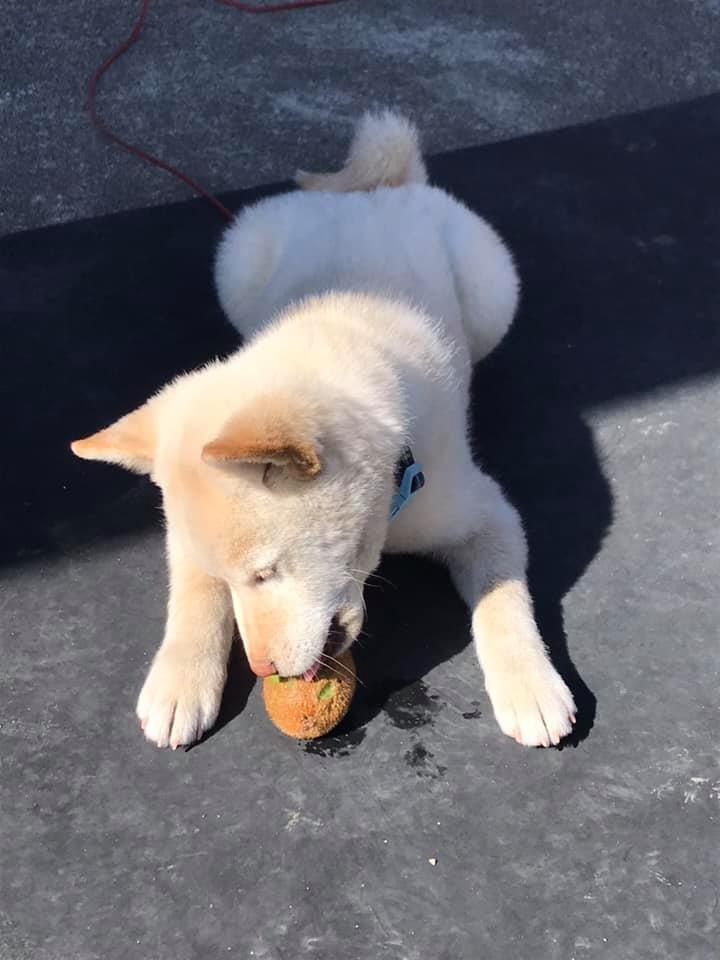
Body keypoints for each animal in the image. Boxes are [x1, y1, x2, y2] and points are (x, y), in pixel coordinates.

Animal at [73, 109, 576, 748]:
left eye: (265, 574)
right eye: (236, 580)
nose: (262, 667)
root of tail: (372, 189)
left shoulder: (484, 513)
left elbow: (501, 595)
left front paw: (529, 681)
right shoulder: (182, 541)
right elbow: (191, 598)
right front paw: (181, 678)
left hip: (493, 292)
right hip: (237, 259)